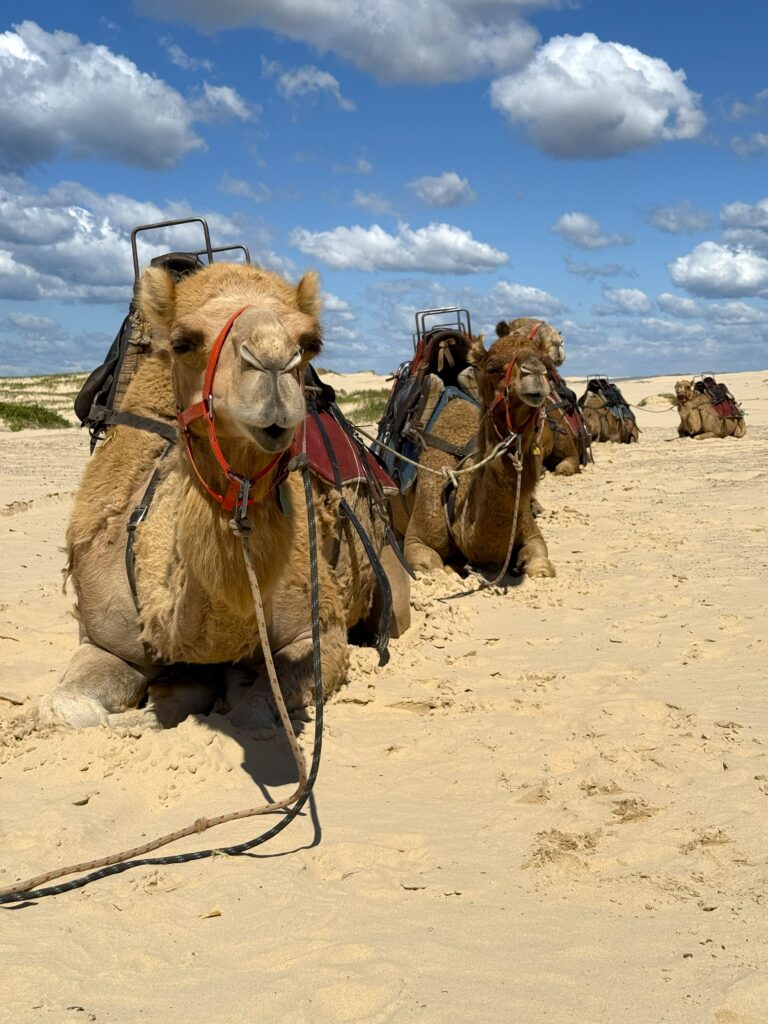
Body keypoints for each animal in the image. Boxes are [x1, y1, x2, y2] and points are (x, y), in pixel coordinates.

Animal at [39, 262, 407, 731]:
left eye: (311, 343)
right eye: (183, 342)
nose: (271, 361)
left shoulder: (319, 630)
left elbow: (252, 712)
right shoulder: (106, 638)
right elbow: (63, 707)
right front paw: (147, 716)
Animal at [396, 331, 555, 578]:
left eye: (547, 364)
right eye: (492, 368)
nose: (535, 372)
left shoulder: (533, 537)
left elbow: (540, 564)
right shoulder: (416, 542)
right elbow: (434, 566)